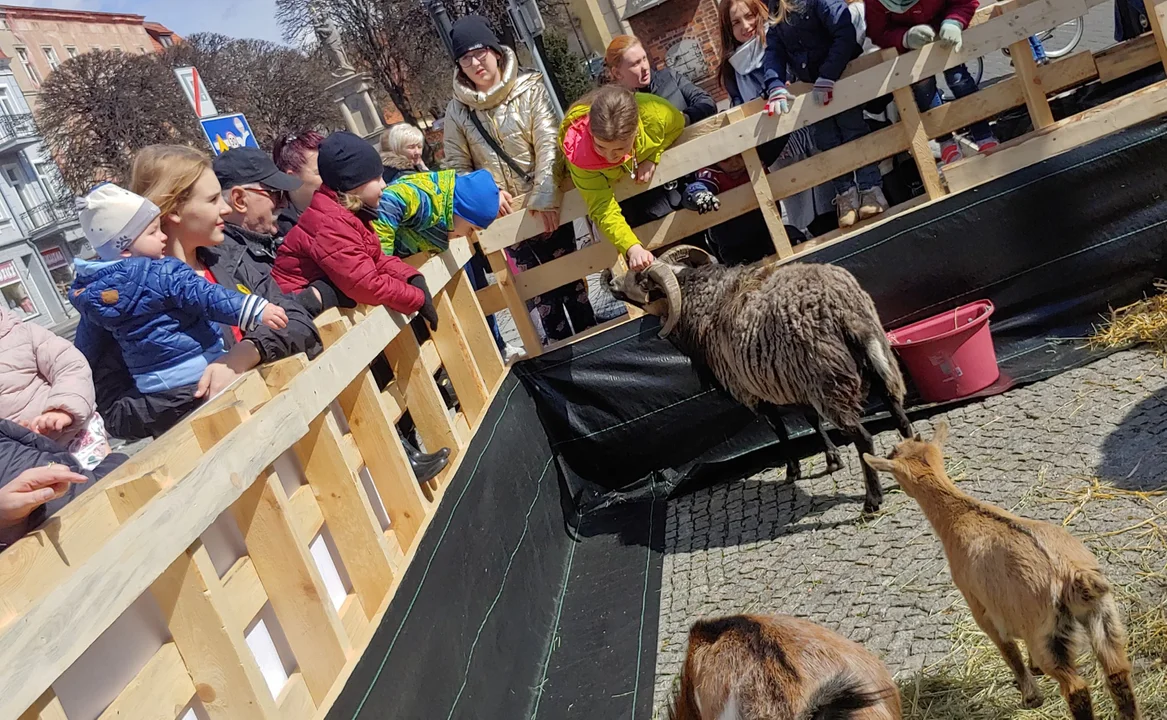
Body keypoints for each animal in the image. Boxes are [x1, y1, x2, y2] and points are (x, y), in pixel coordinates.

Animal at [606, 246, 914, 511]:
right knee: (899, 415)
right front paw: (832, 460)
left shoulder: (752, 392)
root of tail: (841, 309)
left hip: (829, 381)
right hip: (876, 364)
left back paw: (872, 501)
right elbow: (812, 420)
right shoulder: (795, 383)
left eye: (640, 278)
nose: (610, 280)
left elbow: (779, 429)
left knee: (863, 438)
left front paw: (792, 471)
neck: (702, 303)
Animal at [868, 420, 1138, 718]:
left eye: (892, 455)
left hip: (1049, 636)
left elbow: (1008, 650)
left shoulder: (981, 607)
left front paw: (1031, 697)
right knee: (1117, 673)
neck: (962, 515)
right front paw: (1032, 674)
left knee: (1076, 688)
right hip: (1104, 617)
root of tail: (1073, 576)